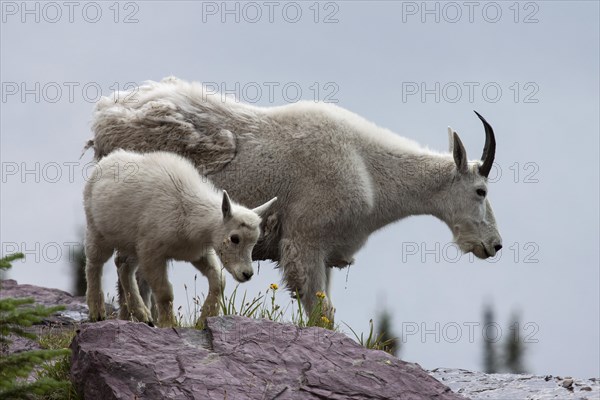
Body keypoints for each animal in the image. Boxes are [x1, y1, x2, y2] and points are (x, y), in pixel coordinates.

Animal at [88, 76, 502, 318]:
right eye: (480, 190)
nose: (494, 245)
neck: (369, 170)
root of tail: (106, 114)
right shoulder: (306, 241)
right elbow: (321, 314)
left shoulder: (326, 250)